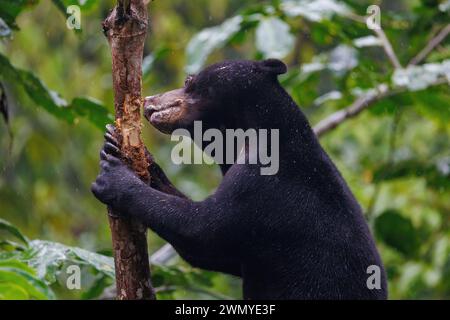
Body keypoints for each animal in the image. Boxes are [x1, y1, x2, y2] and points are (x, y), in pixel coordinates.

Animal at [91, 58, 386, 300]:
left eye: (188, 81)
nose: (149, 101)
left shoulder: (261, 186)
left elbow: (201, 230)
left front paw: (113, 177)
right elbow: (222, 255)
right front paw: (115, 145)